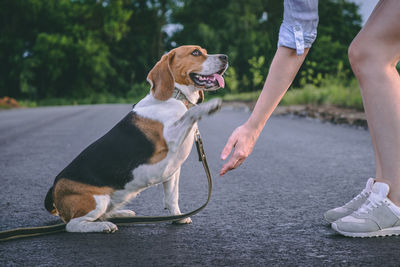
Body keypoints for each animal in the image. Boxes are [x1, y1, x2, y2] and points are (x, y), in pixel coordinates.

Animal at [44, 45, 228, 233]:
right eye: (195, 52)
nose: (225, 57)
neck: (175, 97)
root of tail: (54, 187)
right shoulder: (171, 138)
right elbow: (191, 113)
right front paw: (211, 105)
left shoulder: (173, 171)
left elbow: (172, 198)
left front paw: (178, 217)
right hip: (97, 201)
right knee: (73, 224)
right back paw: (104, 226)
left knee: (100, 215)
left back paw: (122, 214)